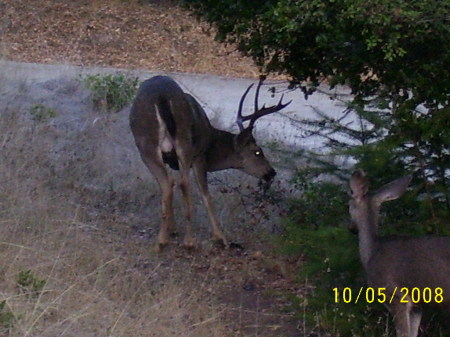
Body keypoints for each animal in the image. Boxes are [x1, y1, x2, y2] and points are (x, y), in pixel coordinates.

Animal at [130, 75, 292, 249]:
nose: (271, 172)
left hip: (147, 146)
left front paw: (172, 229)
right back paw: (189, 241)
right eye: (257, 152)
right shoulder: (200, 155)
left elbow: (167, 186)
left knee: (168, 184)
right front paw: (220, 237)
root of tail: (161, 97)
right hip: (183, 141)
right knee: (184, 183)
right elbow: (206, 195)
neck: (212, 141)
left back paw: (162, 241)